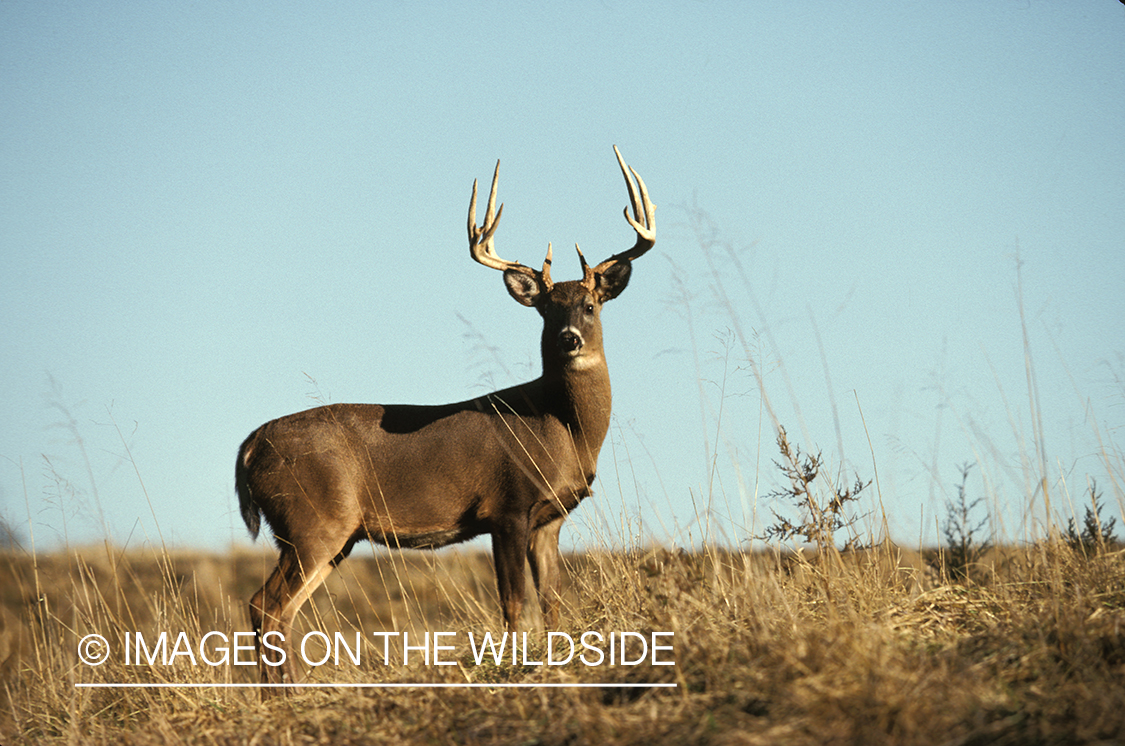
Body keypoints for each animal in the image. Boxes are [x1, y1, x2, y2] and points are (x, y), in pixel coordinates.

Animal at [237, 144, 657, 684]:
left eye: (589, 305)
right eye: (546, 310)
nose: (569, 339)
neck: (563, 427)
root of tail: (250, 447)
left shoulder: (550, 519)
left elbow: (554, 605)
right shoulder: (507, 507)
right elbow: (515, 606)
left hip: (324, 534)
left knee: (275, 608)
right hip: (313, 519)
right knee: (266, 604)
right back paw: (285, 695)